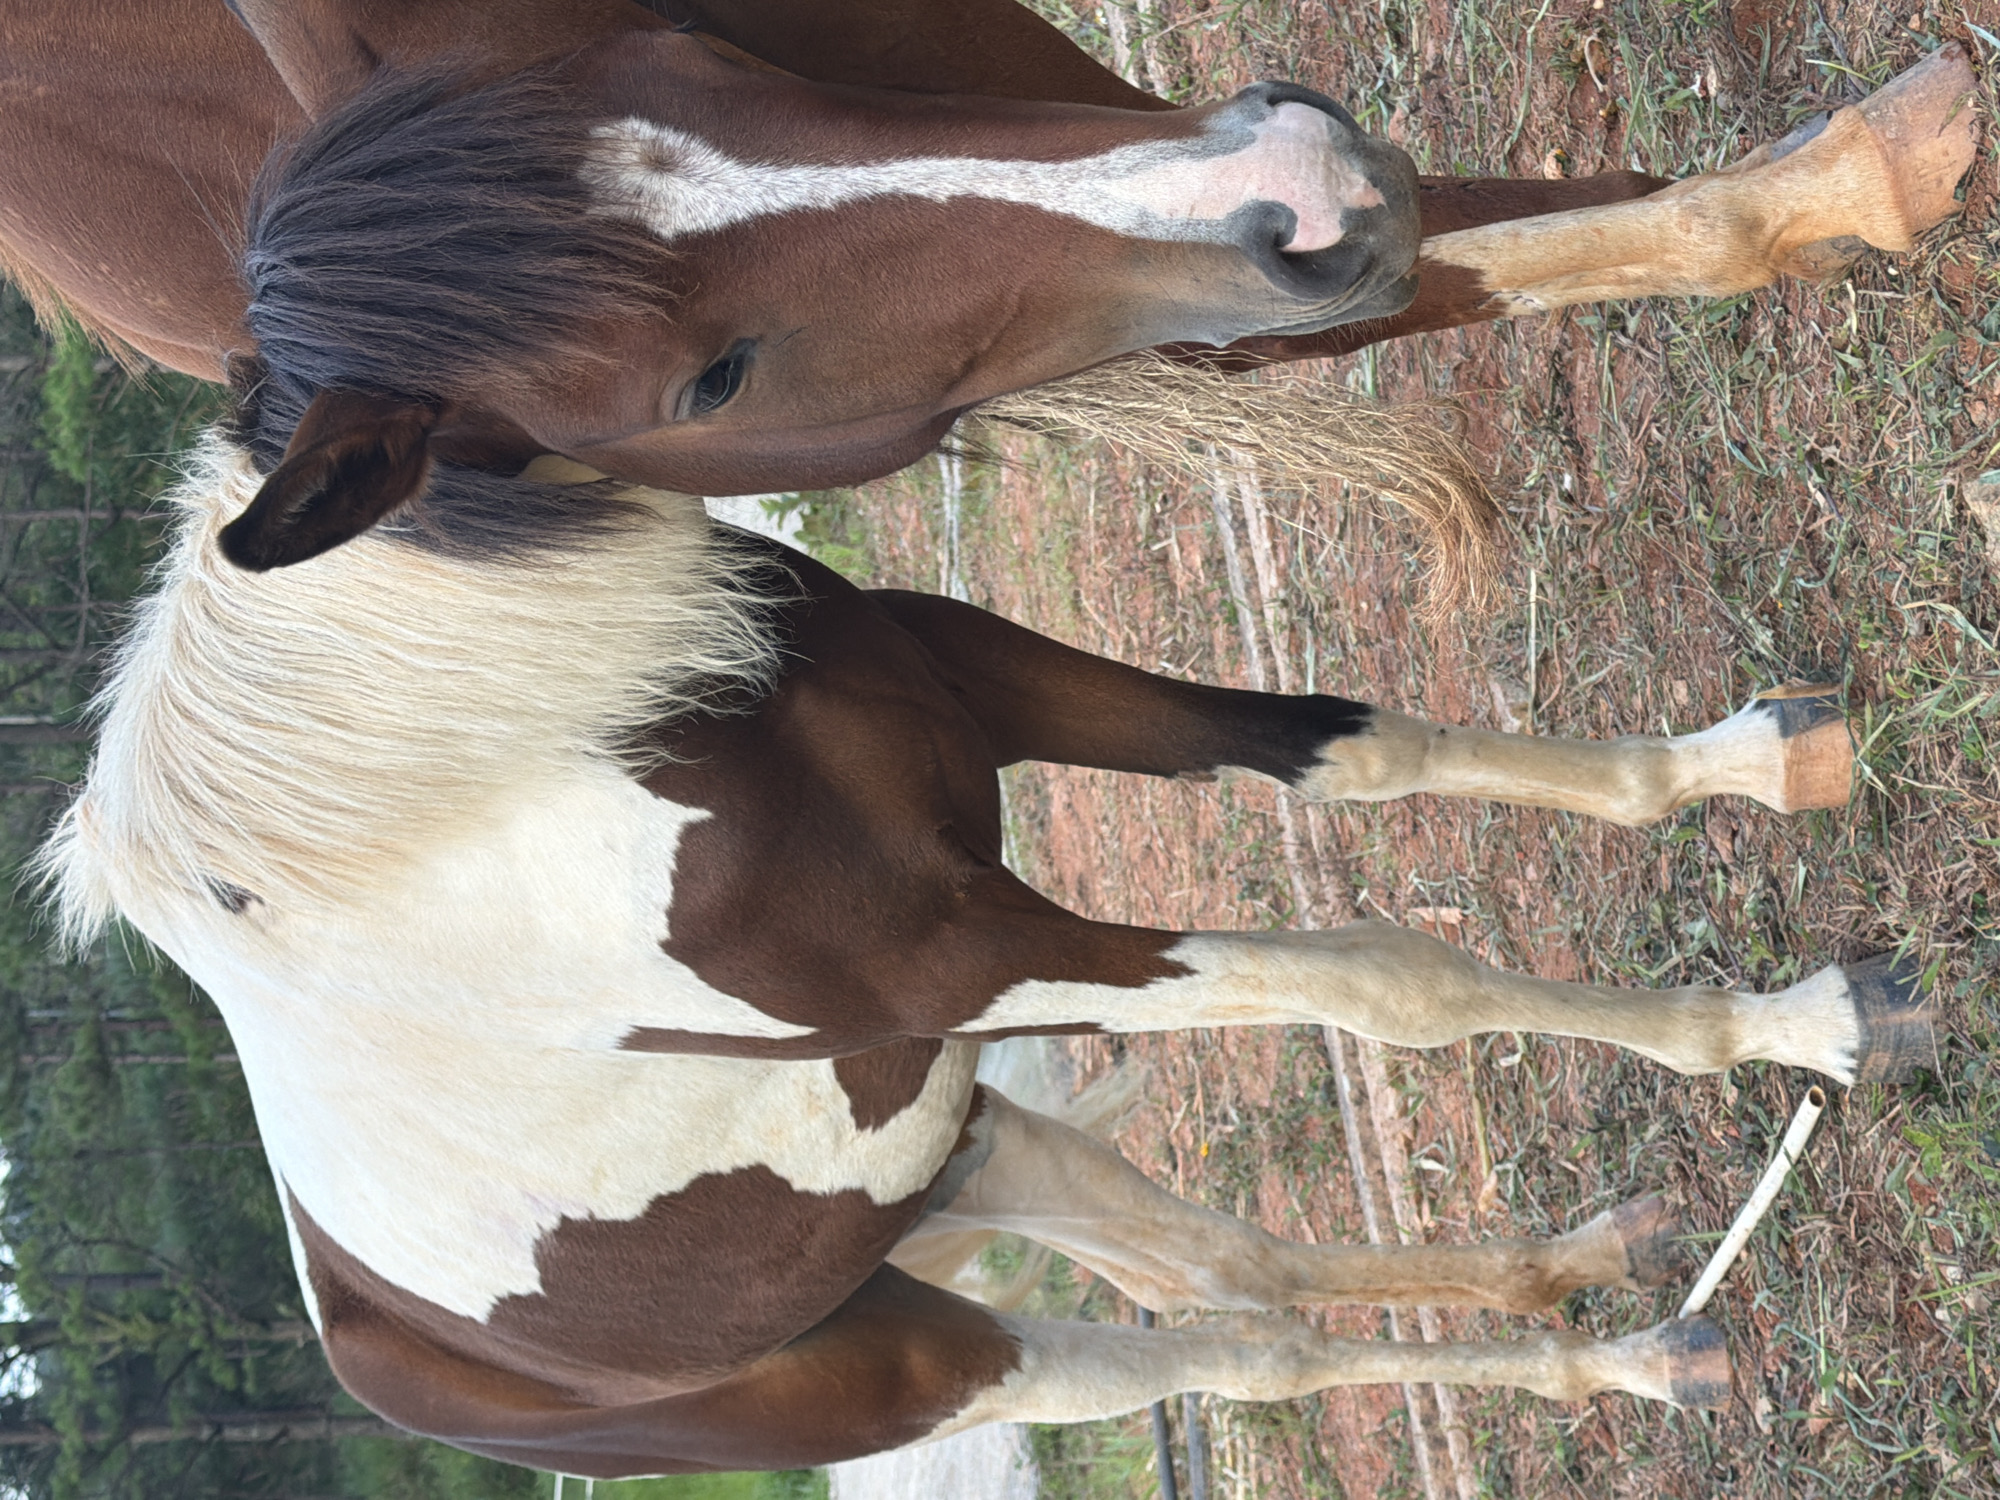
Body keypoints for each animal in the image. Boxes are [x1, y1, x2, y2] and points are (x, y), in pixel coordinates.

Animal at [41, 437, 1935, 1478]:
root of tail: (389, 1357)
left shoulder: (976, 677)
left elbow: (1351, 746)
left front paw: (1750, 765)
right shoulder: (964, 958)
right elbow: (1393, 982)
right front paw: (1809, 1027)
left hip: (955, 1149)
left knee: (1234, 1272)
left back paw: (1586, 1288)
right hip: (914, 1364)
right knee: (1237, 1354)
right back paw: (1626, 1356)